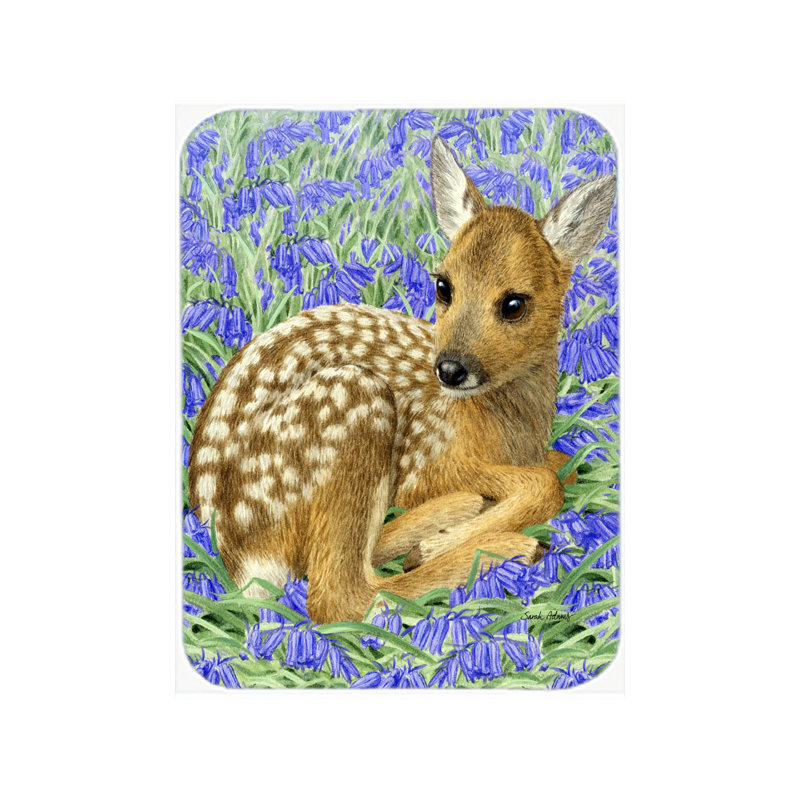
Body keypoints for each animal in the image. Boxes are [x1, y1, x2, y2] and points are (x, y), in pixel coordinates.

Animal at [187, 136, 616, 624]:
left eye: (514, 304)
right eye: (443, 286)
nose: (449, 368)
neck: (511, 432)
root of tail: (239, 556)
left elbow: (562, 464)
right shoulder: (427, 464)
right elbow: (545, 483)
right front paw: (440, 543)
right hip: (353, 402)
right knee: (340, 596)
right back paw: (500, 545)